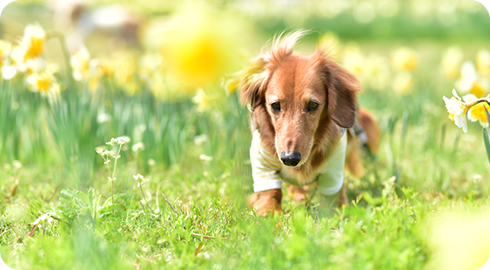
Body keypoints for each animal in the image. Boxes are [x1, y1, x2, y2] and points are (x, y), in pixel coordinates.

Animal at [237, 30, 378, 215]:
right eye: (275, 105)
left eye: (312, 105)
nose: (290, 159)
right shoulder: (263, 168)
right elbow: (269, 201)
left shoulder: (333, 175)